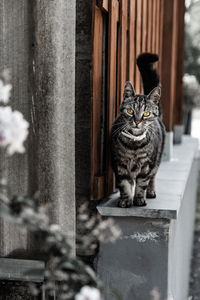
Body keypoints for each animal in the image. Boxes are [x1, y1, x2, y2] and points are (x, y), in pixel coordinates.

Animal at [110, 52, 165, 207]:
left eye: (146, 113)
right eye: (130, 111)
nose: (137, 121)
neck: (134, 145)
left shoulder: (146, 165)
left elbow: (142, 183)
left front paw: (139, 199)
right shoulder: (119, 164)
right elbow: (124, 184)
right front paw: (125, 200)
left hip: (157, 160)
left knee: (153, 176)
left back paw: (151, 192)